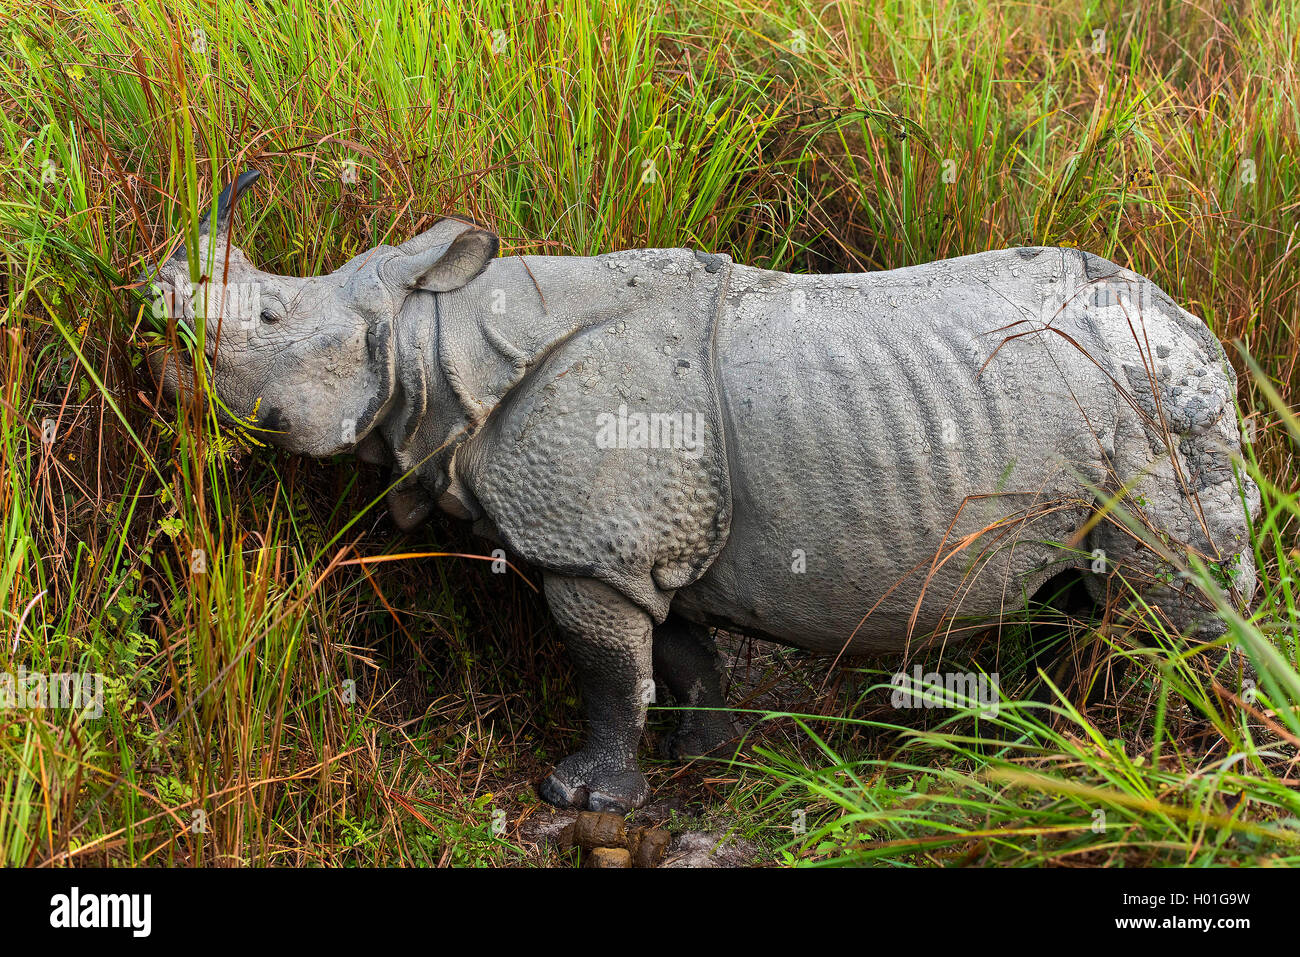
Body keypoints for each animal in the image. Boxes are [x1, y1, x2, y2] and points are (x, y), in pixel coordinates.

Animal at [147, 171, 1259, 812]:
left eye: (269, 316)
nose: (152, 326)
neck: (440, 339)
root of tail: (1192, 320)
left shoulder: (595, 548)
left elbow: (606, 671)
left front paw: (583, 795)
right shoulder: (644, 536)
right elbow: (675, 651)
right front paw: (705, 754)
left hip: (1154, 397)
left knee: (1176, 592)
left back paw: (1195, 750)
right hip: (1126, 388)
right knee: (1082, 589)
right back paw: (1048, 731)